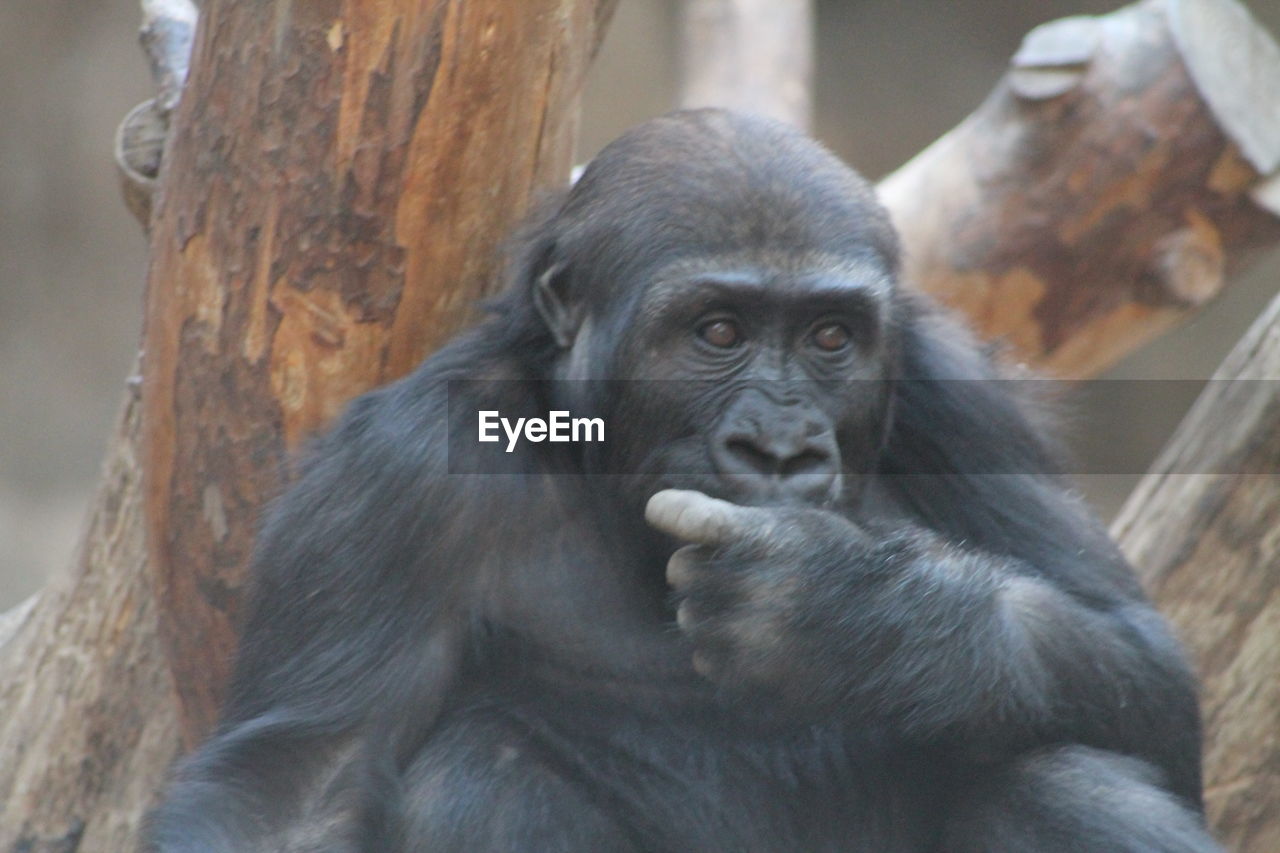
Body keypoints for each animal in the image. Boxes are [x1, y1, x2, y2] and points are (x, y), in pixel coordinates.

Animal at [149, 109, 1218, 845]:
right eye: (718, 331)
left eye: (830, 338)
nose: (779, 448)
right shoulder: (393, 476)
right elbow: (301, 781)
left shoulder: (957, 395)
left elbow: (1149, 672)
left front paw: (861, 617)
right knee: (479, 773)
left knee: (1067, 776)